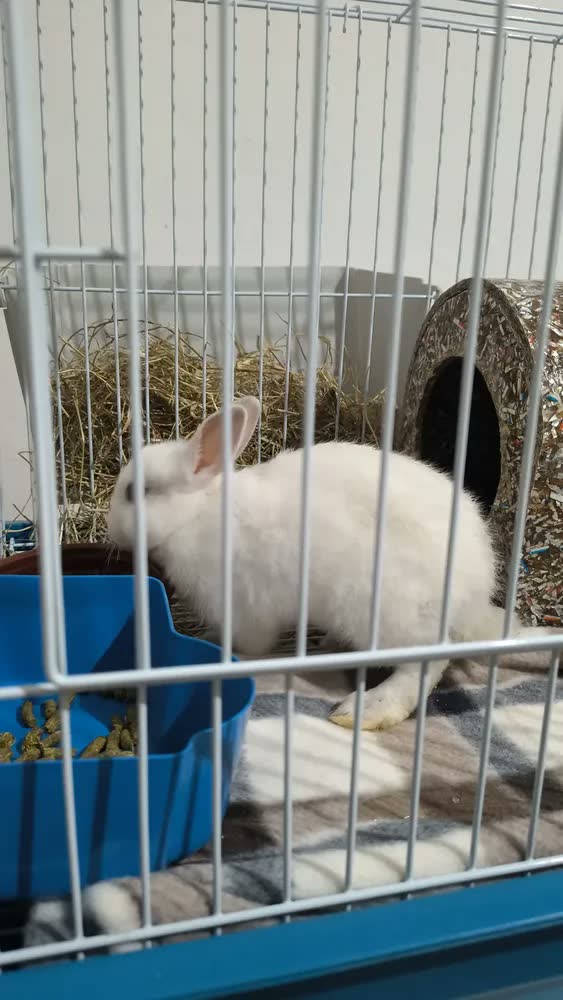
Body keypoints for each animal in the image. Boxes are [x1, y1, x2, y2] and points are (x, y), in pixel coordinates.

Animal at [107, 395, 560, 731]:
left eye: (135, 492)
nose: (111, 529)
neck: (197, 514)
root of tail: (473, 595)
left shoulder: (244, 607)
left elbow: (246, 642)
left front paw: (219, 648)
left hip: (385, 613)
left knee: (428, 663)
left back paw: (368, 709)